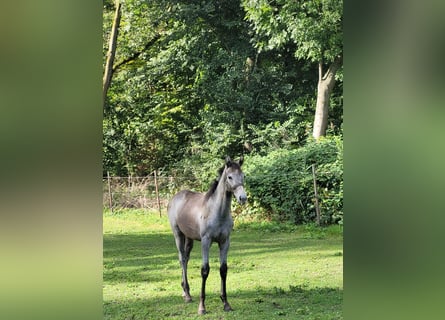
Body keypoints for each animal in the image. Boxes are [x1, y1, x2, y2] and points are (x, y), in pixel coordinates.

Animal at [168, 156, 248, 314]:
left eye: (243, 176)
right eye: (229, 177)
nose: (243, 198)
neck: (217, 212)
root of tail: (176, 197)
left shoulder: (225, 242)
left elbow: (223, 270)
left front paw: (226, 303)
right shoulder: (206, 241)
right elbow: (205, 270)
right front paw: (202, 307)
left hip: (189, 238)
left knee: (186, 259)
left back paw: (185, 291)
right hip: (178, 235)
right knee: (181, 259)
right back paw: (187, 294)